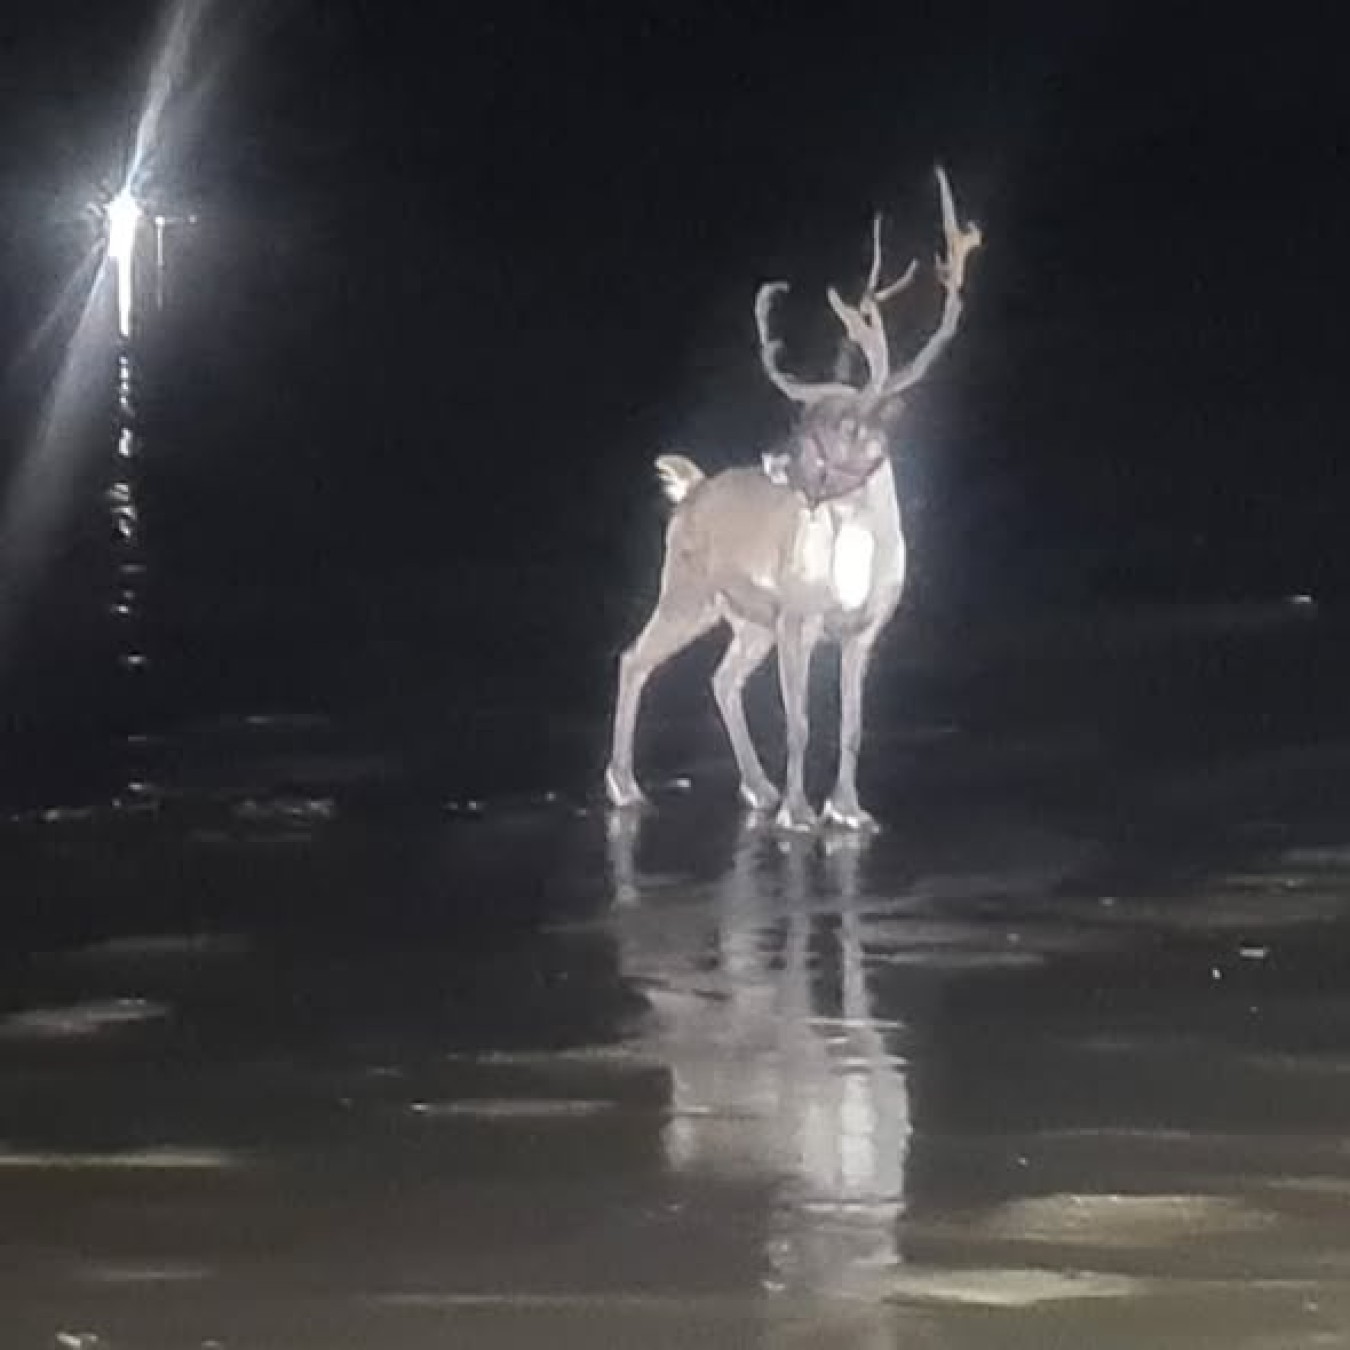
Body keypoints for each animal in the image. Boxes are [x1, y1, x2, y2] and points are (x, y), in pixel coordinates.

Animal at [605, 166, 982, 831]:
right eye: (800, 419)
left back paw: (757, 788)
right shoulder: (797, 619)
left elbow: (853, 726)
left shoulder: (863, 630)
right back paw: (626, 786)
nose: (776, 460)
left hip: (744, 619)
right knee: (634, 658)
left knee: (721, 679)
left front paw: (849, 810)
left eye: (846, 426)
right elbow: (801, 722)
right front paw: (801, 812)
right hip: (688, 591)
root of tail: (691, 487)